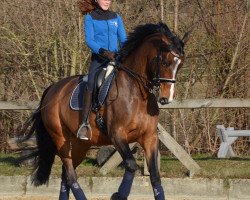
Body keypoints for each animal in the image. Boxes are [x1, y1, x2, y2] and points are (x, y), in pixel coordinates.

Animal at [21, 22, 189, 199]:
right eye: (164, 62)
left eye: (180, 64)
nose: (166, 98)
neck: (136, 93)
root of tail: (53, 88)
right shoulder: (117, 135)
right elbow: (131, 165)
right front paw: (118, 195)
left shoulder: (150, 137)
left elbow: (155, 176)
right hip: (61, 139)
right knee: (70, 174)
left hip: (80, 144)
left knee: (65, 174)